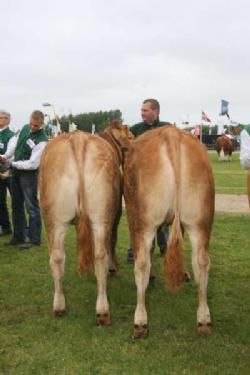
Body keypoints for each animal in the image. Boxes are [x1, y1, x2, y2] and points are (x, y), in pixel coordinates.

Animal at [39, 122, 132, 324]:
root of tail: (78, 137)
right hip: (102, 215)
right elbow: (112, 241)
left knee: (57, 257)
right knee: (100, 255)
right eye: (131, 136)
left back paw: (59, 306)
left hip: (53, 218)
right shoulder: (116, 214)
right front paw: (114, 269)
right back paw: (103, 310)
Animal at [116, 125, 214, 338]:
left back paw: (140, 322)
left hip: (141, 220)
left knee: (142, 263)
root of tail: (171, 133)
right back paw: (203, 320)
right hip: (201, 220)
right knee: (201, 261)